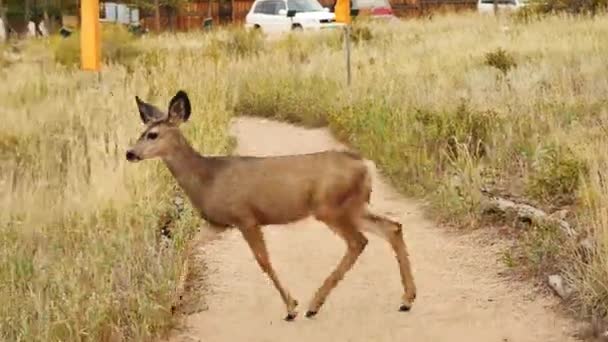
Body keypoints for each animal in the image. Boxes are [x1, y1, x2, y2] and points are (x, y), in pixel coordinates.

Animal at [125, 90, 416, 320]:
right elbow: (188, 247)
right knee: (393, 227)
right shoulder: (219, 223)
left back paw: (313, 304)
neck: (207, 179)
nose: (130, 153)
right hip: (354, 206)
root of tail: (364, 166)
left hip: (330, 207)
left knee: (359, 241)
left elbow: (263, 261)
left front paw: (291, 306)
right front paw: (174, 303)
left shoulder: (245, 217)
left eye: (153, 134)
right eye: (141, 133)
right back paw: (407, 299)